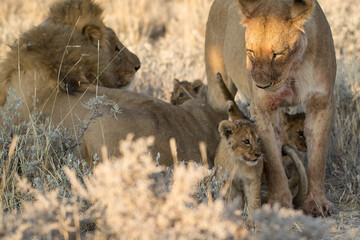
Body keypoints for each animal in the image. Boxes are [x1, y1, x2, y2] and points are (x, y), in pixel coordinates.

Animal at [204, 0, 336, 217]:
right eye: (250, 51)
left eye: (278, 53)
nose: (260, 85)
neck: (293, 69)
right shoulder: (264, 110)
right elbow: (274, 164)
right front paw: (279, 205)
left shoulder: (321, 103)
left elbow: (318, 159)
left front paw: (316, 203)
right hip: (216, 85)